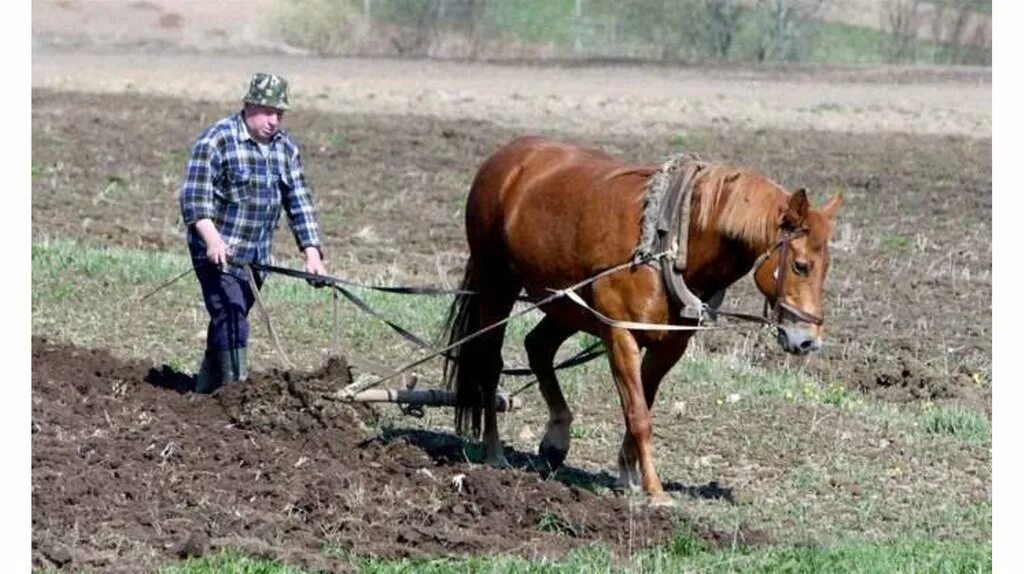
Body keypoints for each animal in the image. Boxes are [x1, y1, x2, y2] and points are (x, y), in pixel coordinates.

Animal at [436, 135, 843, 505]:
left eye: (827, 267)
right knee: (489, 362)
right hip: (497, 285)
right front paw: (656, 491)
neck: (673, 242)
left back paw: (556, 439)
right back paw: (494, 452)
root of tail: (506, 158)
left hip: (570, 305)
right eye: (801, 265)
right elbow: (639, 415)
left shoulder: (669, 345)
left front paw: (626, 474)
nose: (808, 340)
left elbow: (642, 405)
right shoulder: (620, 334)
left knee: (538, 347)